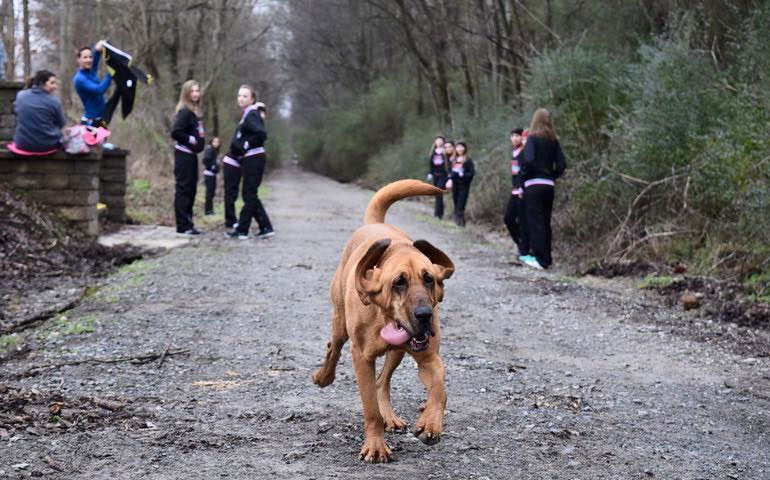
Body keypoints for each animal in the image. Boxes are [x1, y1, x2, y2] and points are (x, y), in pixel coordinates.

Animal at [312, 179, 452, 462]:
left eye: (429, 279)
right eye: (399, 282)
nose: (424, 315)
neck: (383, 316)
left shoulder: (429, 359)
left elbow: (439, 389)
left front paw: (430, 424)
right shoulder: (362, 358)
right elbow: (370, 409)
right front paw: (376, 446)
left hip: (396, 352)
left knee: (382, 382)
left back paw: (392, 417)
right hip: (340, 324)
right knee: (334, 347)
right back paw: (324, 377)